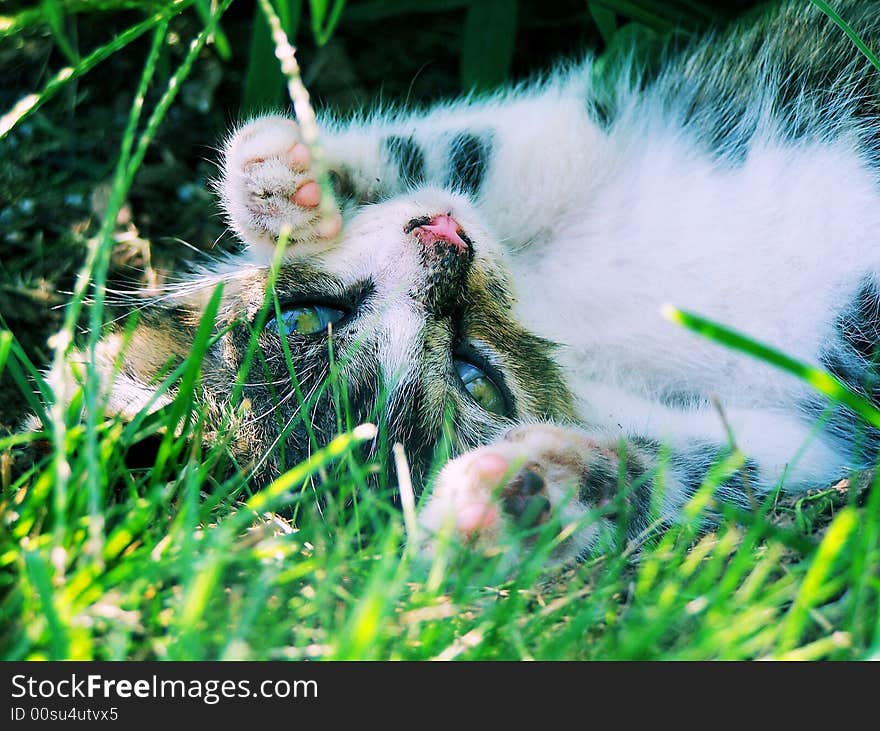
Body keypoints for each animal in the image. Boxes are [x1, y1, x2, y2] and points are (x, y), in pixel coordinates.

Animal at [81, 0, 880, 568]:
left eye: (301, 317)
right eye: (477, 380)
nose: (447, 251)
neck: (567, 322)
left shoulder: (580, 138)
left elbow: (477, 149)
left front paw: (288, 180)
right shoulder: (809, 437)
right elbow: (703, 468)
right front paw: (528, 489)